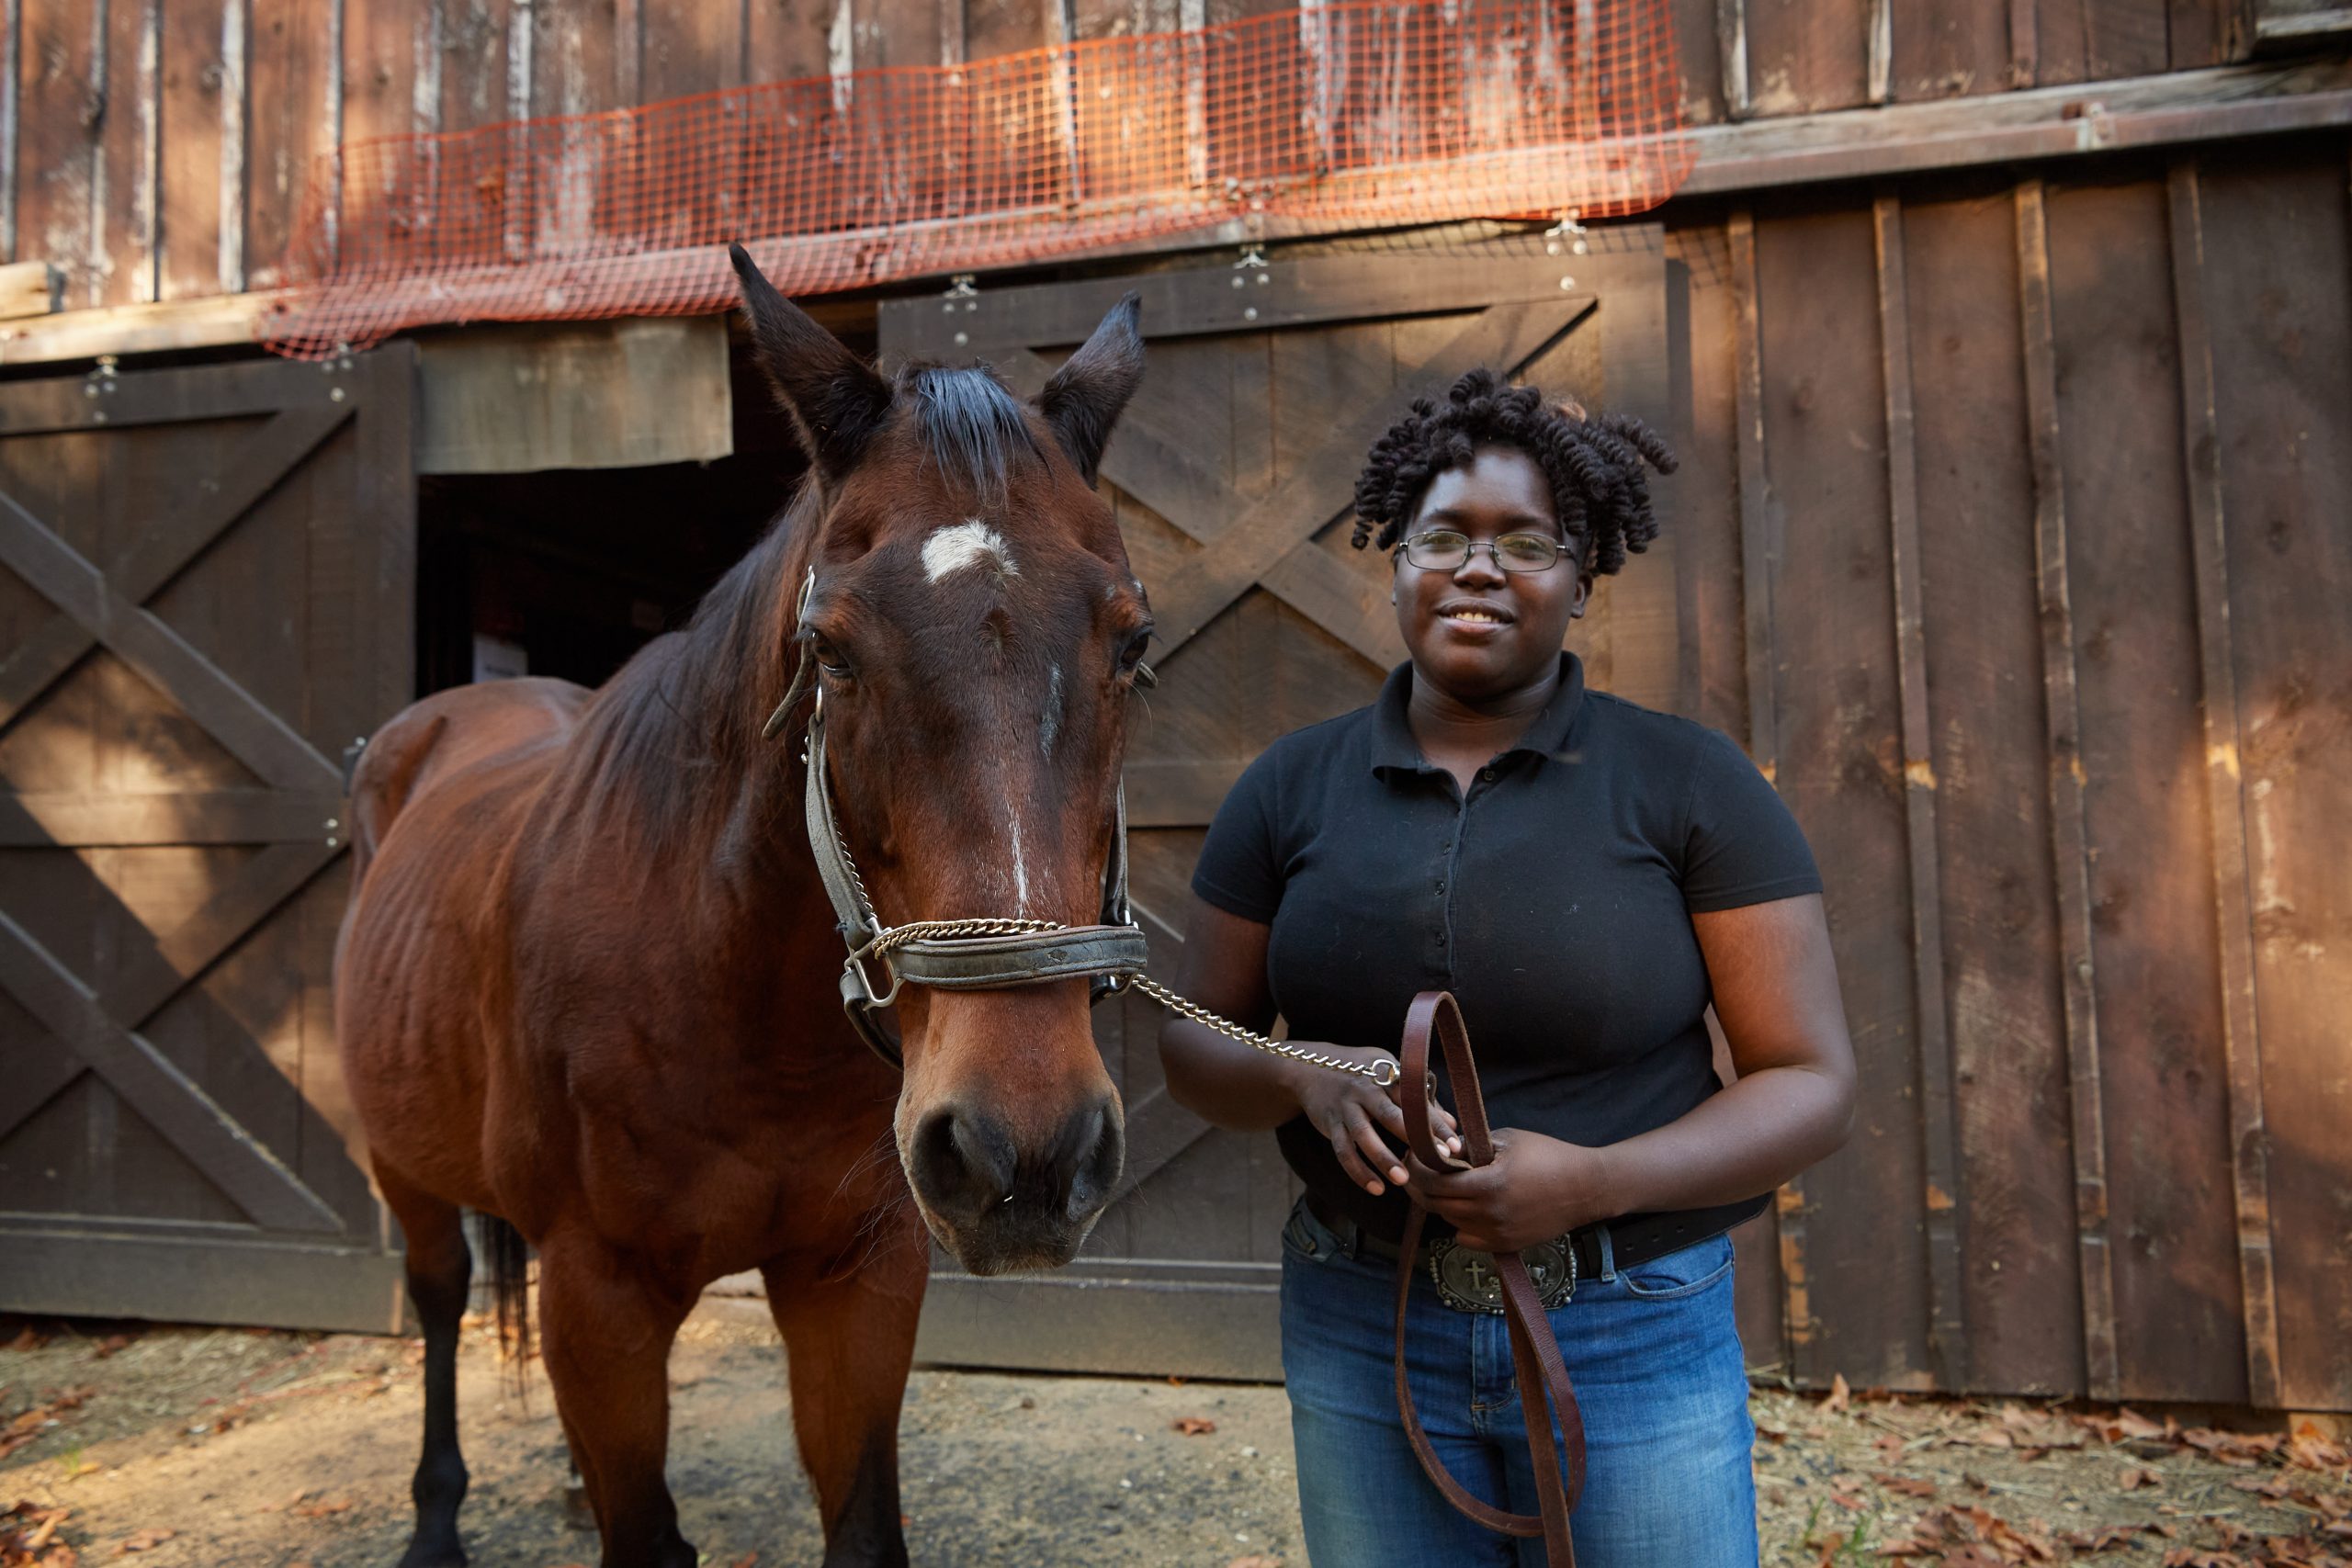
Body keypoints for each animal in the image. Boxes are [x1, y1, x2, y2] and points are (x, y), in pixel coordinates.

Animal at [334, 245, 1153, 1568]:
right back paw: (436, 1522)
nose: (1024, 1152)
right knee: (442, 1302)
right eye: (832, 650)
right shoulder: (601, 1296)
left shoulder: (856, 1280)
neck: (731, 997)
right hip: (403, 1168)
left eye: (1133, 644)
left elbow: (858, 1521)